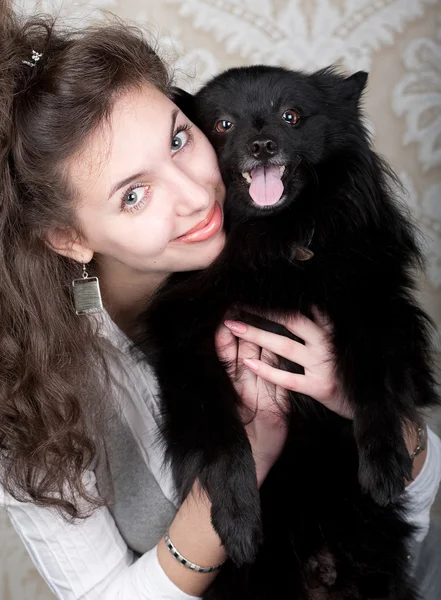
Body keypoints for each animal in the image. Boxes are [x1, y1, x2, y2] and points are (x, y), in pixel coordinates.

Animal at [136, 63, 438, 596]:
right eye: (224, 125)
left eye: (291, 116)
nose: (262, 144)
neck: (272, 244)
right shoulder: (186, 344)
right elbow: (223, 434)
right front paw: (236, 518)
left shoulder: (373, 307)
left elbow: (372, 380)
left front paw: (384, 460)